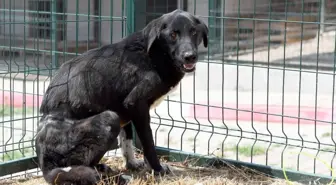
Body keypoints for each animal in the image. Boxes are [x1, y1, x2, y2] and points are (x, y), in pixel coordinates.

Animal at [37, 8, 210, 181]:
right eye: (173, 34)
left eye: (194, 32)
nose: (190, 56)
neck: (154, 54)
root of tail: (45, 161)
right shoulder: (136, 103)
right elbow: (148, 143)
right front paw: (157, 169)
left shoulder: (125, 108)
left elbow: (127, 139)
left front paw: (132, 164)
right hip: (109, 118)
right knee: (83, 168)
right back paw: (114, 177)